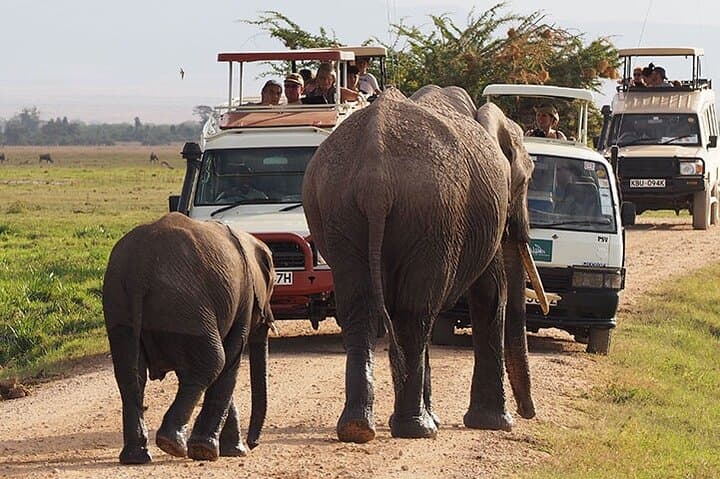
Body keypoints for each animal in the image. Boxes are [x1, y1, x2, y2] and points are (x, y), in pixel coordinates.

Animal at [102, 212, 275, 464]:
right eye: (272, 285)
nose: (253, 444)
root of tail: (139, 270)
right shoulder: (244, 300)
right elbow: (230, 362)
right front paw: (213, 451)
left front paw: (232, 451)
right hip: (186, 306)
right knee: (214, 362)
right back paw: (173, 445)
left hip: (119, 301)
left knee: (130, 374)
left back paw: (136, 457)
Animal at [302, 86, 548, 443]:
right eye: (526, 182)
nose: (529, 413)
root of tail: (375, 180)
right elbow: (490, 293)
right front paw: (497, 423)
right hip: (431, 214)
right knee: (415, 314)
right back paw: (417, 429)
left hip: (340, 209)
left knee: (362, 310)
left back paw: (359, 429)